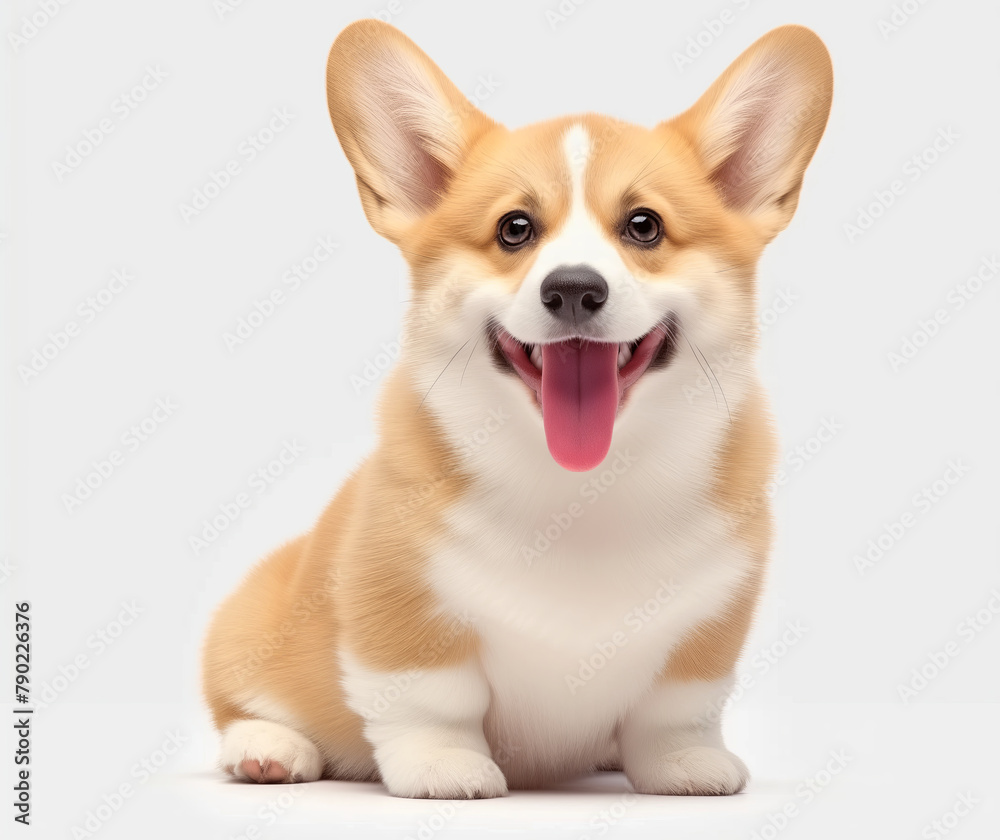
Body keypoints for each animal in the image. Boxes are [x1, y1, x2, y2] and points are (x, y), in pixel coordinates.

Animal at [201, 16, 828, 796]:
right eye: (515, 229)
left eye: (644, 226)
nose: (574, 289)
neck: (583, 488)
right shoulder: (398, 598)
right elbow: (430, 696)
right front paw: (445, 766)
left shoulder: (710, 621)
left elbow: (675, 707)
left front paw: (684, 763)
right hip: (251, 619)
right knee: (244, 702)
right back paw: (267, 750)